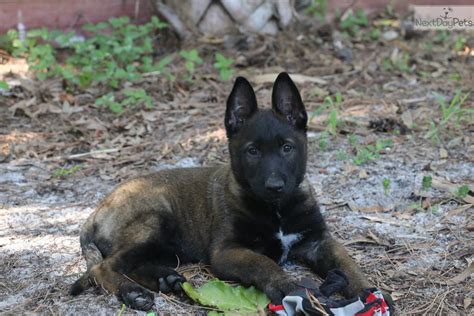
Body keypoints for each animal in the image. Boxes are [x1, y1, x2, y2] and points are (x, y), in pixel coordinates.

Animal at [71, 73, 388, 312]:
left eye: (287, 148)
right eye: (252, 151)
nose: (275, 185)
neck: (277, 209)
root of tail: (96, 211)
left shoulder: (319, 242)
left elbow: (348, 264)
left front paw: (369, 291)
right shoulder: (227, 251)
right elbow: (262, 263)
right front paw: (289, 286)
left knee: (130, 264)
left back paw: (165, 280)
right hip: (154, 220)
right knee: (103, 268)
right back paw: (132, 292)